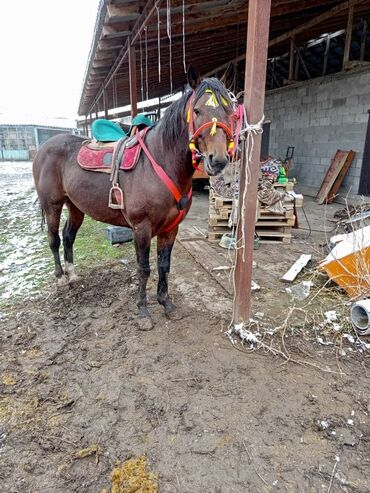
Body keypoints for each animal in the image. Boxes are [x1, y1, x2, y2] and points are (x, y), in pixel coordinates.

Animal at [32, 69, 234, 328]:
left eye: (229, 110)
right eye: (197, 110)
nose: (217, 161)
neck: (160, 162)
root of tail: (44, 148)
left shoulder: (171, 228)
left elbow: (164, 265)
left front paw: (166, 304)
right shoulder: (141, 228)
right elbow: (144, 268)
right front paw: (143, 312)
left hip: (75, 206)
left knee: (68, 237)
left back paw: (73, 275)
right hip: (52, 205)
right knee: (54, 240)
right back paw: (60, 279)